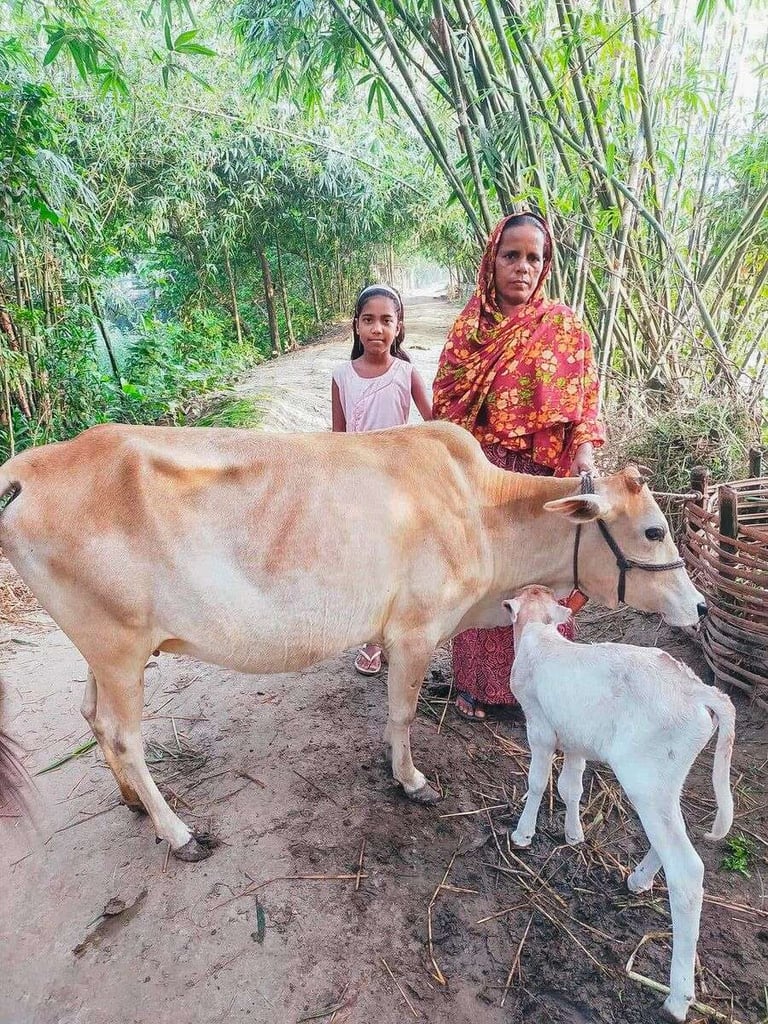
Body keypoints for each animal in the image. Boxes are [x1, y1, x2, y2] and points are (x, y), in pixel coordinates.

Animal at [0, 421, 705, 861]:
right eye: (653, 530)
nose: (698, 605)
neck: (480, 509)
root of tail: (29, 468)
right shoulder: (416, 629)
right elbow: (402, 714)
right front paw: (411, 780)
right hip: (118, 647)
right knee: (124, 735)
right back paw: (176, 831)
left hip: (103, 650)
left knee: (93, 717)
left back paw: (132, 802)